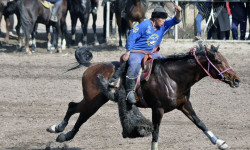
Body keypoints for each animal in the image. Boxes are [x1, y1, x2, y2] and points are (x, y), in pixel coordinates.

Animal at [47, 43, 240, 150]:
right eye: (218, 61)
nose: (236, 80)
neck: (172, 77)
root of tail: (92, 66)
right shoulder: (158, 109)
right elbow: (155, 132)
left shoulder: (184, 104)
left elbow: (200, 123)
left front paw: (220, 142)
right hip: (93, 101)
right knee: (78, 112)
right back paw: (59, 130)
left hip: (95, 101)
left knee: (75, 108)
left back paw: (60, 132)